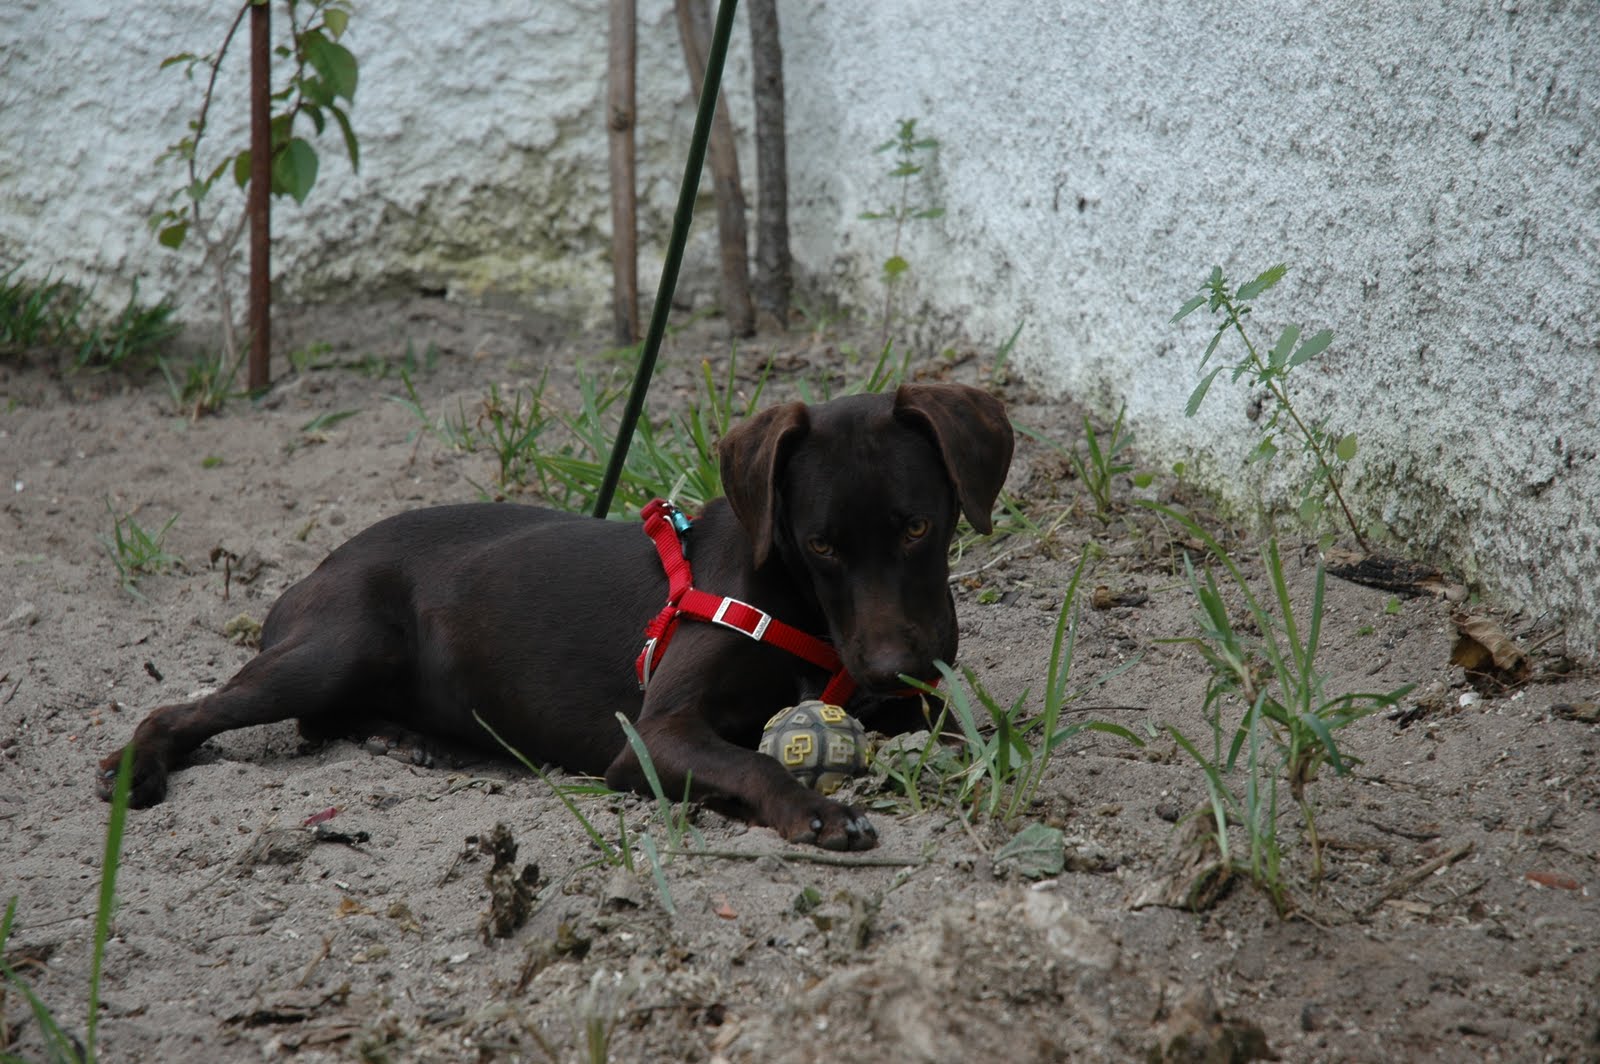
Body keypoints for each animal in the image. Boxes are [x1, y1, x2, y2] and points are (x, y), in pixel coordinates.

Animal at [96, 383, 1013, 850]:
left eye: (918, 527)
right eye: (821, 544)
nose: (892, 667)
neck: (792, 599)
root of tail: (312, 572)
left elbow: (965, 724)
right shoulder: (652, 737)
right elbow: (751, 763)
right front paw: (814, 810)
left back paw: (408, 740)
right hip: (339, 644)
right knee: (187, 708)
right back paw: (136, 766)